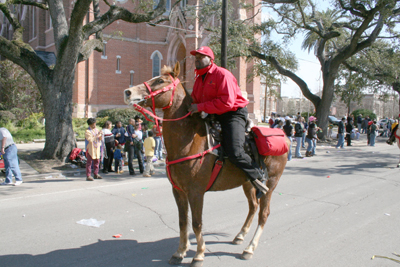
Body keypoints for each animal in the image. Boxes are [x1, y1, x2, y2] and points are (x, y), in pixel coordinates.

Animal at [123, 62, 290, 267]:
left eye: (160, 81)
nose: (128, 92)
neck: (188, 141)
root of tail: (284, 136)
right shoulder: (178, 190)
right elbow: (183, 222)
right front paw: (180, 252)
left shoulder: (196, 192)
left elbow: (196, 223)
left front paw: (199, 254)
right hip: (248, 183)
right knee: (253, 207)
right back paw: (240, 235)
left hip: (270, 184)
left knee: (264, 214)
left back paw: (250, 248)